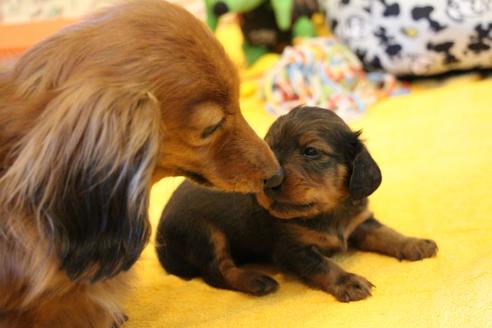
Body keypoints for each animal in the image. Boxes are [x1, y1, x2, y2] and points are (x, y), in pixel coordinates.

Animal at [156, 106, 436, 302]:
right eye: (269, 150)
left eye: (311, 152)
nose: (270, 182)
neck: (328, 210)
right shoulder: (292, 249)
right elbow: (324, 265)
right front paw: (347, 281)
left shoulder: (360, 222)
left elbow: (387, 234)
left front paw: (414, 243)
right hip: (205, 233)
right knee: (216, 272)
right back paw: (256, 281)